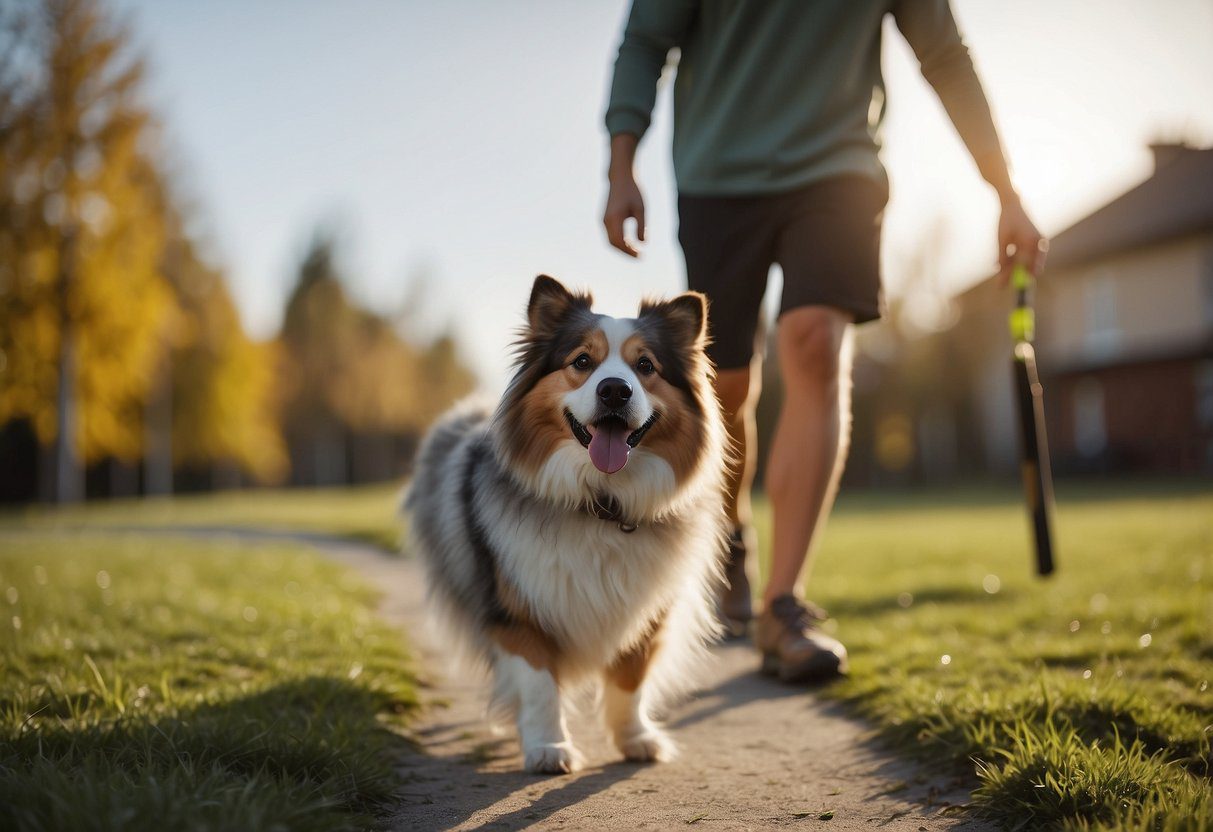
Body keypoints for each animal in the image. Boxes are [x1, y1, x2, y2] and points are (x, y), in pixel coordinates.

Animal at [405, 274, 727, 776]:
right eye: (582, 361)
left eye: (645, 365)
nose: (615, 390)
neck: (600, 504)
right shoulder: (517, 611)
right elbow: (539, 685)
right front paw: (547, 747)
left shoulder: (646, 608)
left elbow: (630, 679)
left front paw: (635, 738)